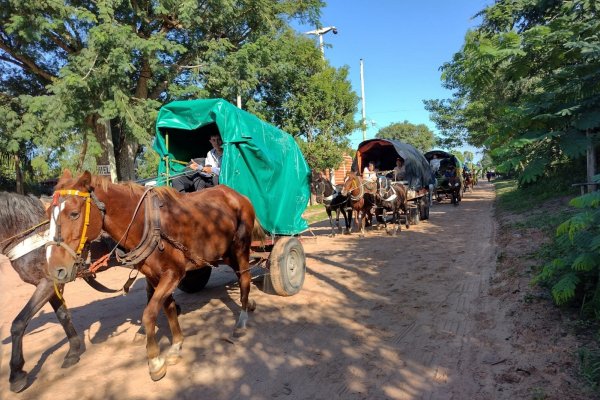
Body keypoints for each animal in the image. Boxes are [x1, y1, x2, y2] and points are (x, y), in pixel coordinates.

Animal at [45, 170, 262, 382]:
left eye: (74, 213)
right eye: (48, 215)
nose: (55, 269)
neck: (146, 223)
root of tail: (238, 195)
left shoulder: (173, 273)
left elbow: (149, 314)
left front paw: (155, 360)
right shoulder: (154, 276)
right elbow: (168, 308)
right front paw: (175, 346)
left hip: (241, 247)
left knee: (244, 279)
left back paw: (241, 321)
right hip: (224, 253)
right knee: (239, 275)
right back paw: (249, 304)